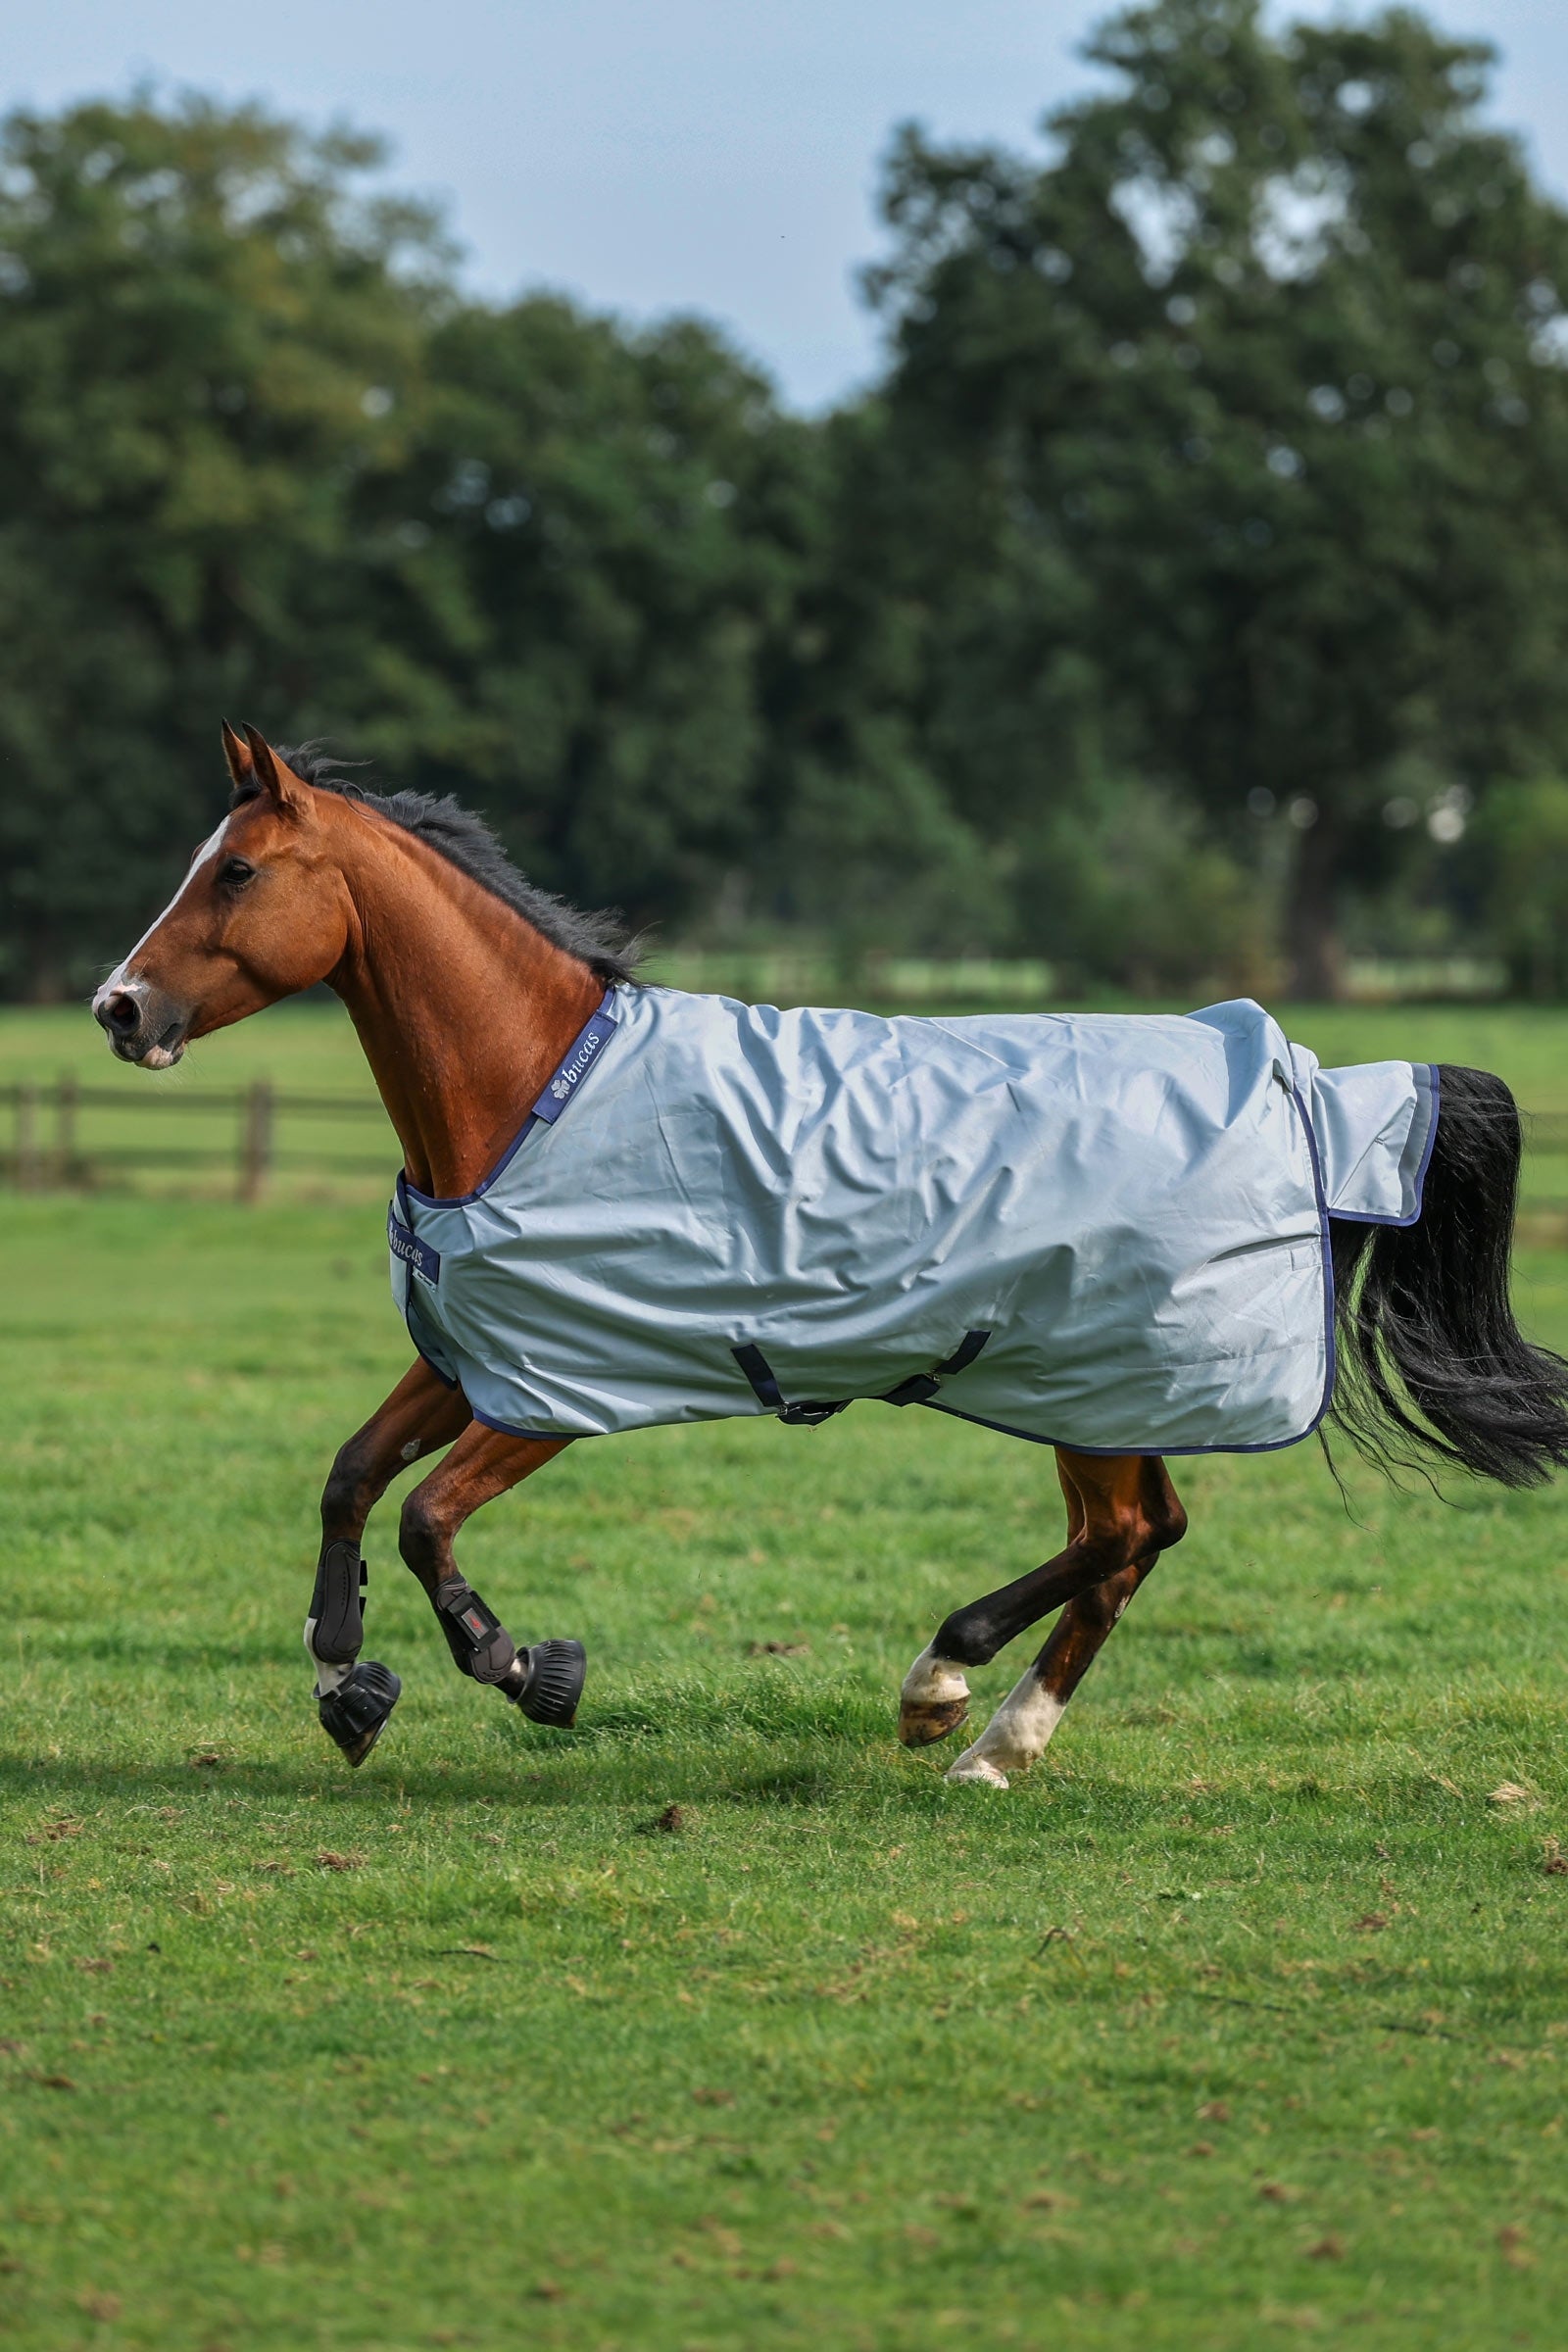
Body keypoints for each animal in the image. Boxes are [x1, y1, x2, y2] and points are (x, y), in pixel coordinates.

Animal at [92, 724, 1568, 1783]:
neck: (532, 1093)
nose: (119, 1008)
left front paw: (527, 1671)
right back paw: (995, 1742)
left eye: (234, 871)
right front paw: (343, 1679)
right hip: (1095, 1389)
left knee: (1131, 1532)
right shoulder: (473, 1359)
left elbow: (422, 1520)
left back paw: (946, 1689)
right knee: (1135, 1541)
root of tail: (1306, 1083)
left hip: (1092, 1380)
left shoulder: (558, 1392)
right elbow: (350, 1482)